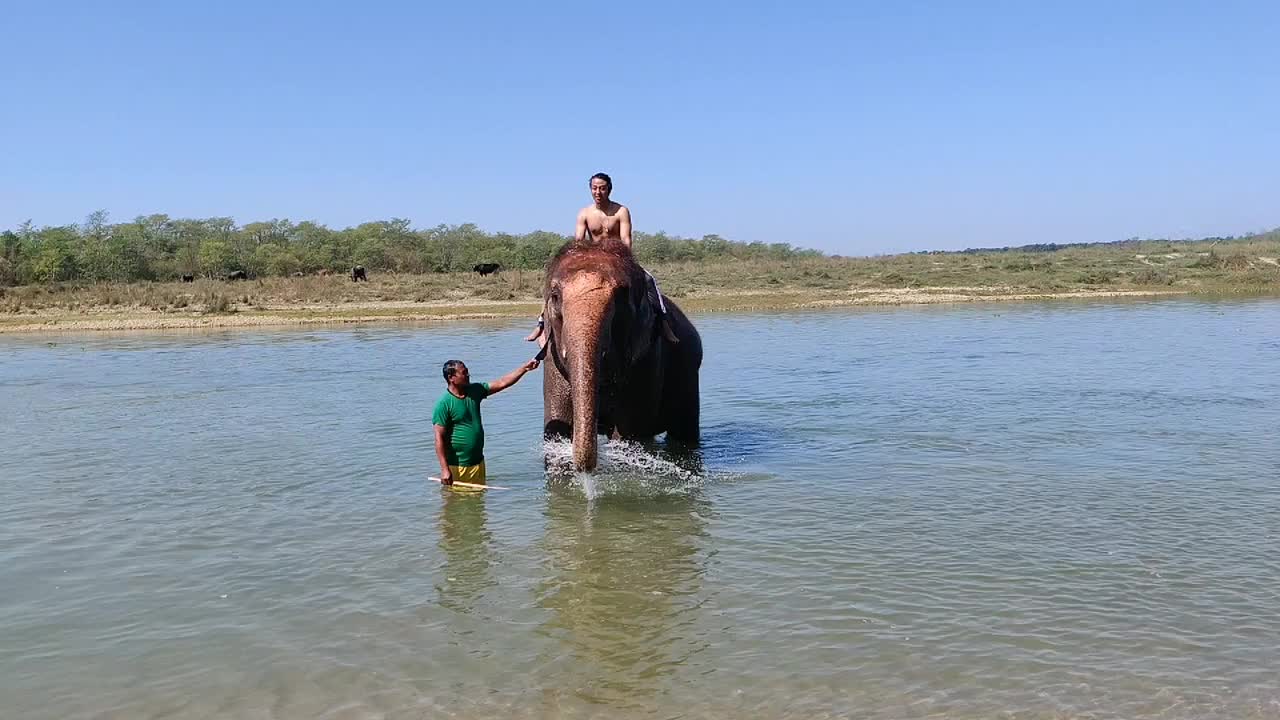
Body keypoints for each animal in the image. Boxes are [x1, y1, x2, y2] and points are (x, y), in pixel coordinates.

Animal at [537, 237, 706, 471]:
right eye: (554, 296)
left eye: (621, 296)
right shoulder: (552, 362)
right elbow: (555, 431)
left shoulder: (648, 356)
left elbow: (628, 435)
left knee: (684, 431)